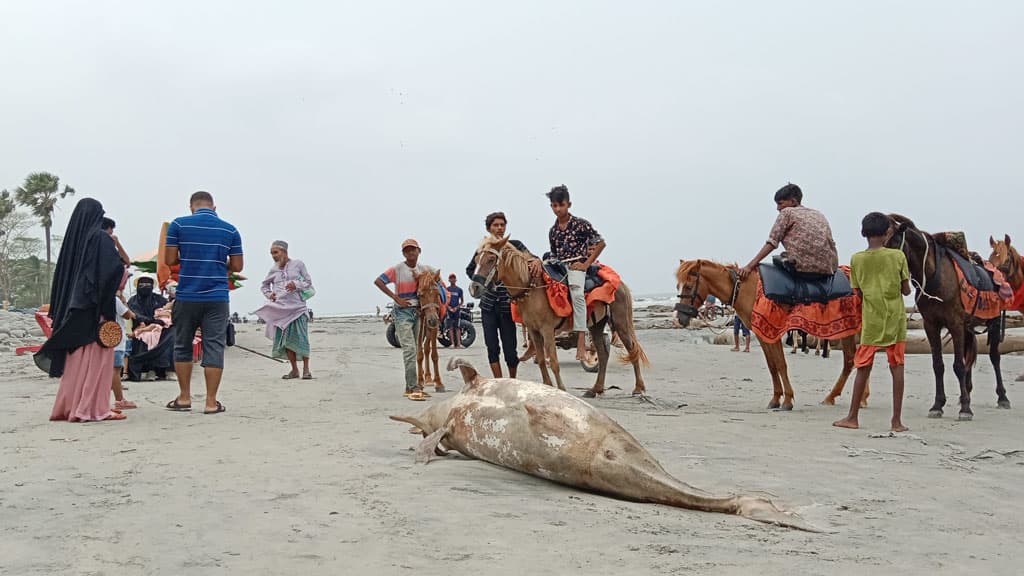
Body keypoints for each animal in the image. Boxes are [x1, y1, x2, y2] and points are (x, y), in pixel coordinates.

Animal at [468, 235, 647, 397]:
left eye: (491, 259)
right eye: (476, 259)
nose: (474, 287)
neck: (531, 288)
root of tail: (621, 284)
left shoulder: (547, 330)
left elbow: (553, 361)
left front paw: (561, 389)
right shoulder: (534, 330)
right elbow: (541, 360)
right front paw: (547, 387)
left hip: (620, 322)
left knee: (632, 349)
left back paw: (638, 388)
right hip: (596, 325)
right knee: (602, 355)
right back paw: (595, 389)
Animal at [671, 258, 864, 409]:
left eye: (688, 286)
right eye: (678, 286)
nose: (679, 318)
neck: (746, 289)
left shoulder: (772, 331)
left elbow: (780, 364)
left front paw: (787, 400)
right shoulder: (763, 335)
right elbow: (772, 365)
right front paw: (776, 398)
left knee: (850, 360)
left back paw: (835, 397)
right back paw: (860, 399)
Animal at [884, 214, 1011, 416]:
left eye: (894, 241)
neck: (935, 278)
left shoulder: (954, 324)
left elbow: (958, 365)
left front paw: (965, 409)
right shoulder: (931, 325)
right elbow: (938, 365)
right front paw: (938, 405)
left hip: (993, 322)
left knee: (994, 357)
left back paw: (1002, 397)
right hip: (968, 327)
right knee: (969, 357)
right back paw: (967, 391)